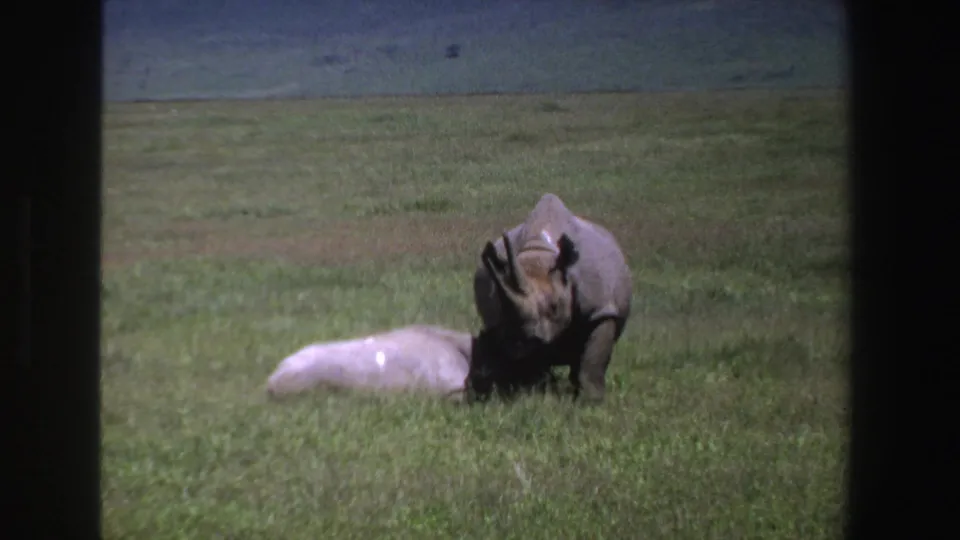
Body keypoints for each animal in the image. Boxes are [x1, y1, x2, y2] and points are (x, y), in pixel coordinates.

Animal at [470, 193, 633, 403]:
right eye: (502, 308)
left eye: (555, 307)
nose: (518, 340)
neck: (539, 252)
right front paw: (530, 395)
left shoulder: (600, 308)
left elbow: (593, 358)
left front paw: (591, 401)